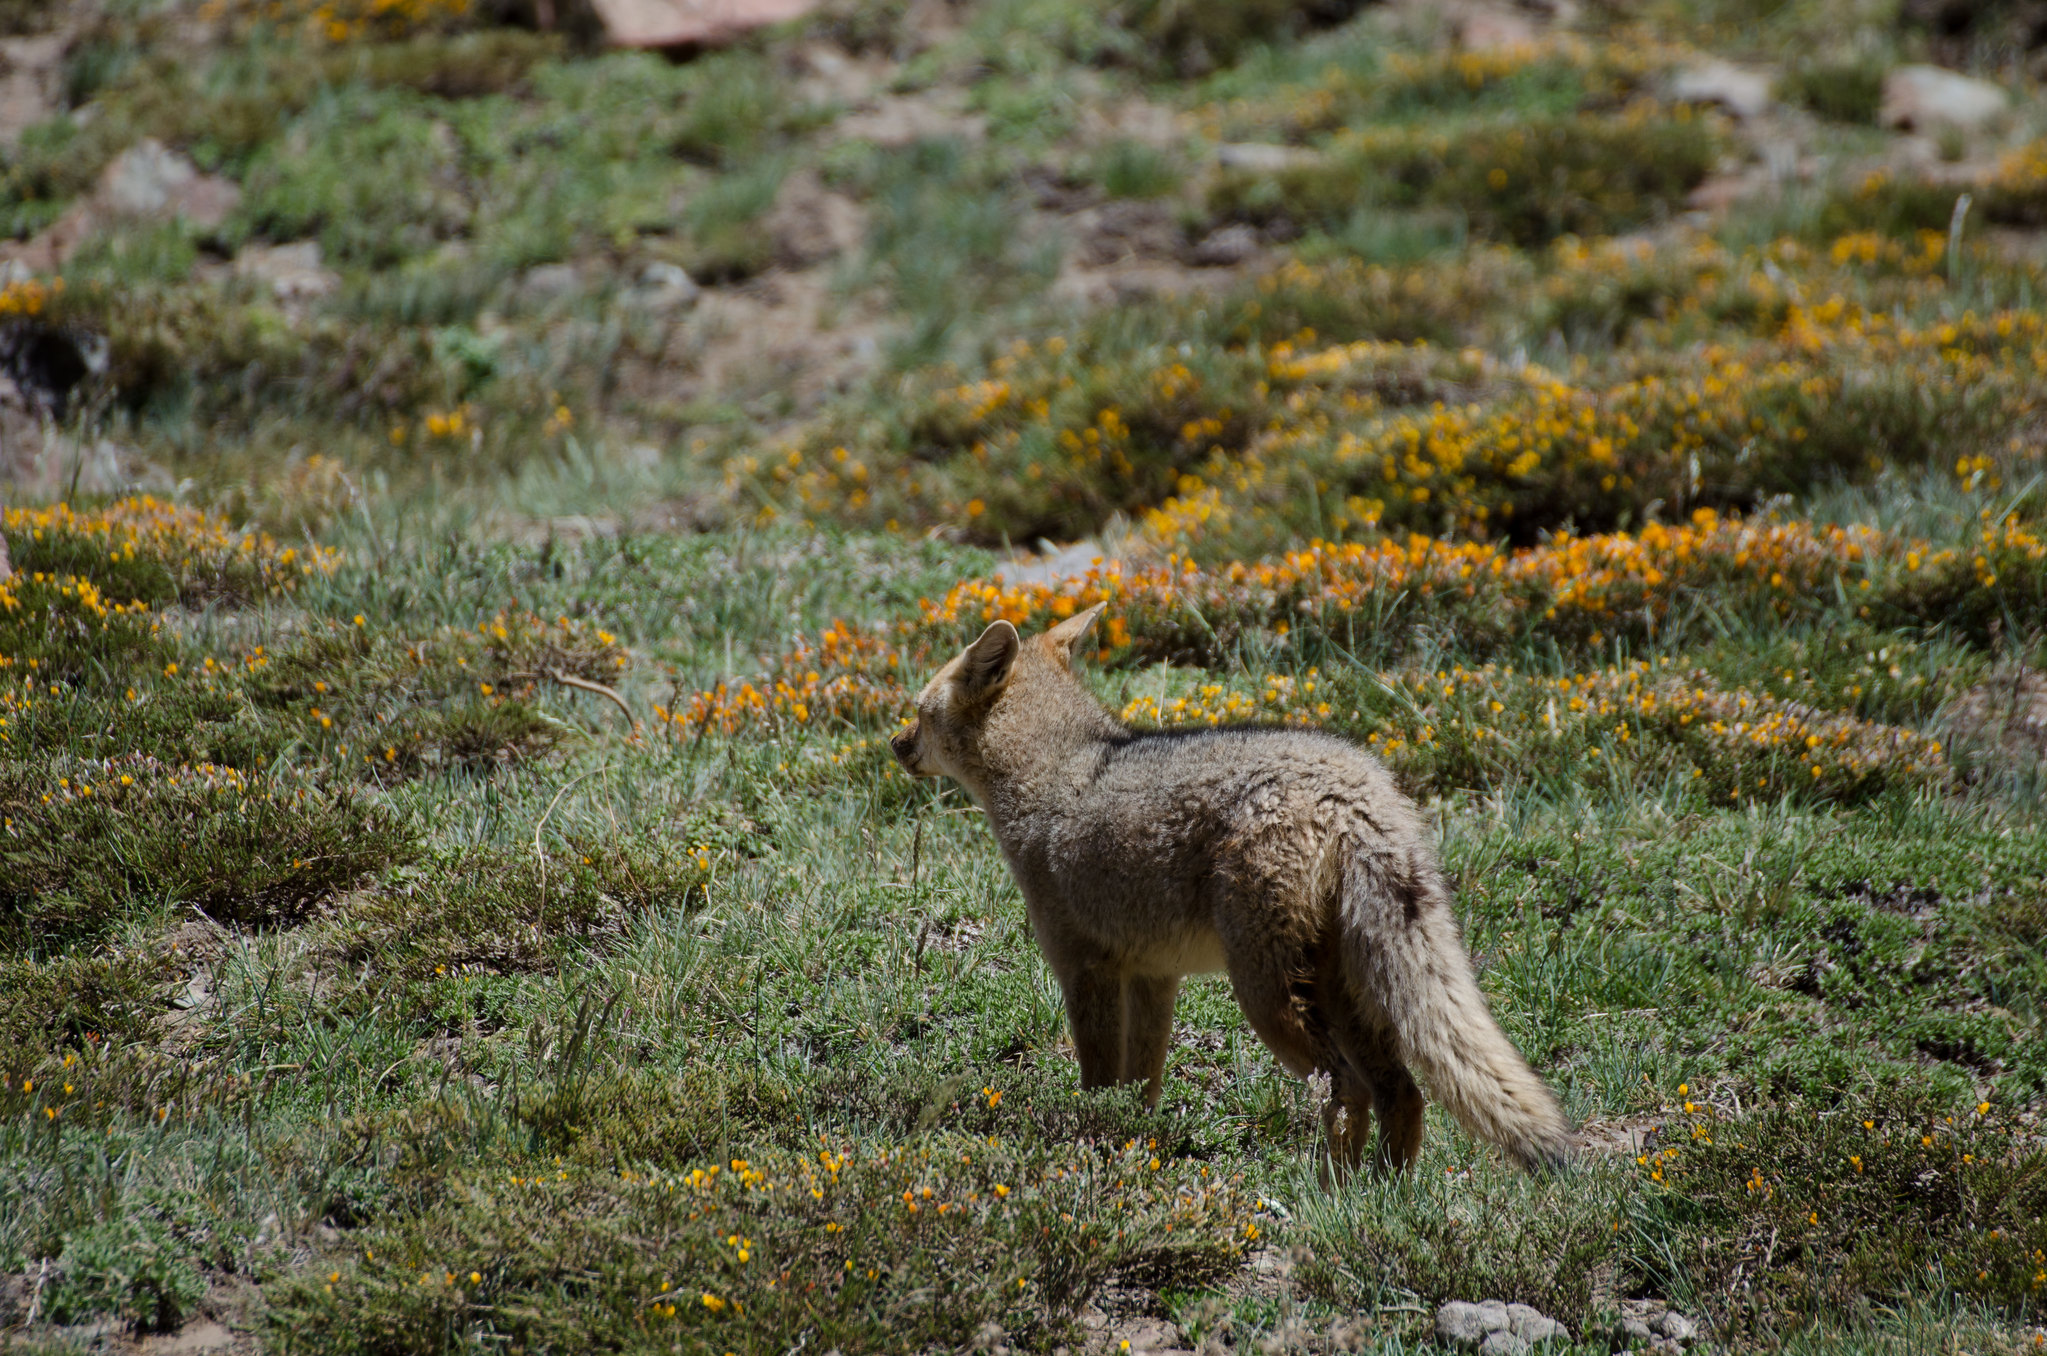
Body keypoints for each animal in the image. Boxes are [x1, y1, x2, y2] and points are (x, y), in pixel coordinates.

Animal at [889, 603, 1573, 1175]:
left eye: (918, 713)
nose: (894, 744)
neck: (1059, 771)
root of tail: (1356, 788)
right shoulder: (1152, 976)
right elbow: (1142, 1088)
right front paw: (1133, 1148)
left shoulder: (1086, 970)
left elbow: (1100, 1085)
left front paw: (1095, 1147)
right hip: (1337, 987)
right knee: (1400, 1091)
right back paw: (1385, 1196)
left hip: (1264, 994)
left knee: (1347, 1087)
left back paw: (1333, 1193)